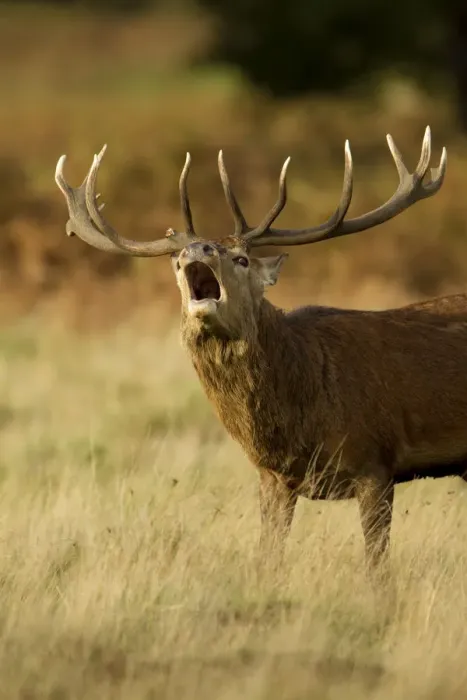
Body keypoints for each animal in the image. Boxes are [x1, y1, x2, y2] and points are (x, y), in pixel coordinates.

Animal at [55, 126, 467, 578]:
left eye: (241, 258)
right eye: (175, 263)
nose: (196, 250)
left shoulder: (375, 460)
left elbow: (376, 566)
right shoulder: (272, 476)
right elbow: (268, 557)